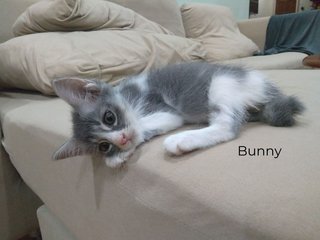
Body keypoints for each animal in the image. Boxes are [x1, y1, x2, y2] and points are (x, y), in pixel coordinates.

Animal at [51, 62, 304, 167]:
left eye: (109, 118)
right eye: (103, 146)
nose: (121, 140)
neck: (126, 95)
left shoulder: (164, 109)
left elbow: (143, 126)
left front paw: (121, 154)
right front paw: (120, 153)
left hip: (221, 83)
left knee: (226, 126)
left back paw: (183, 140)